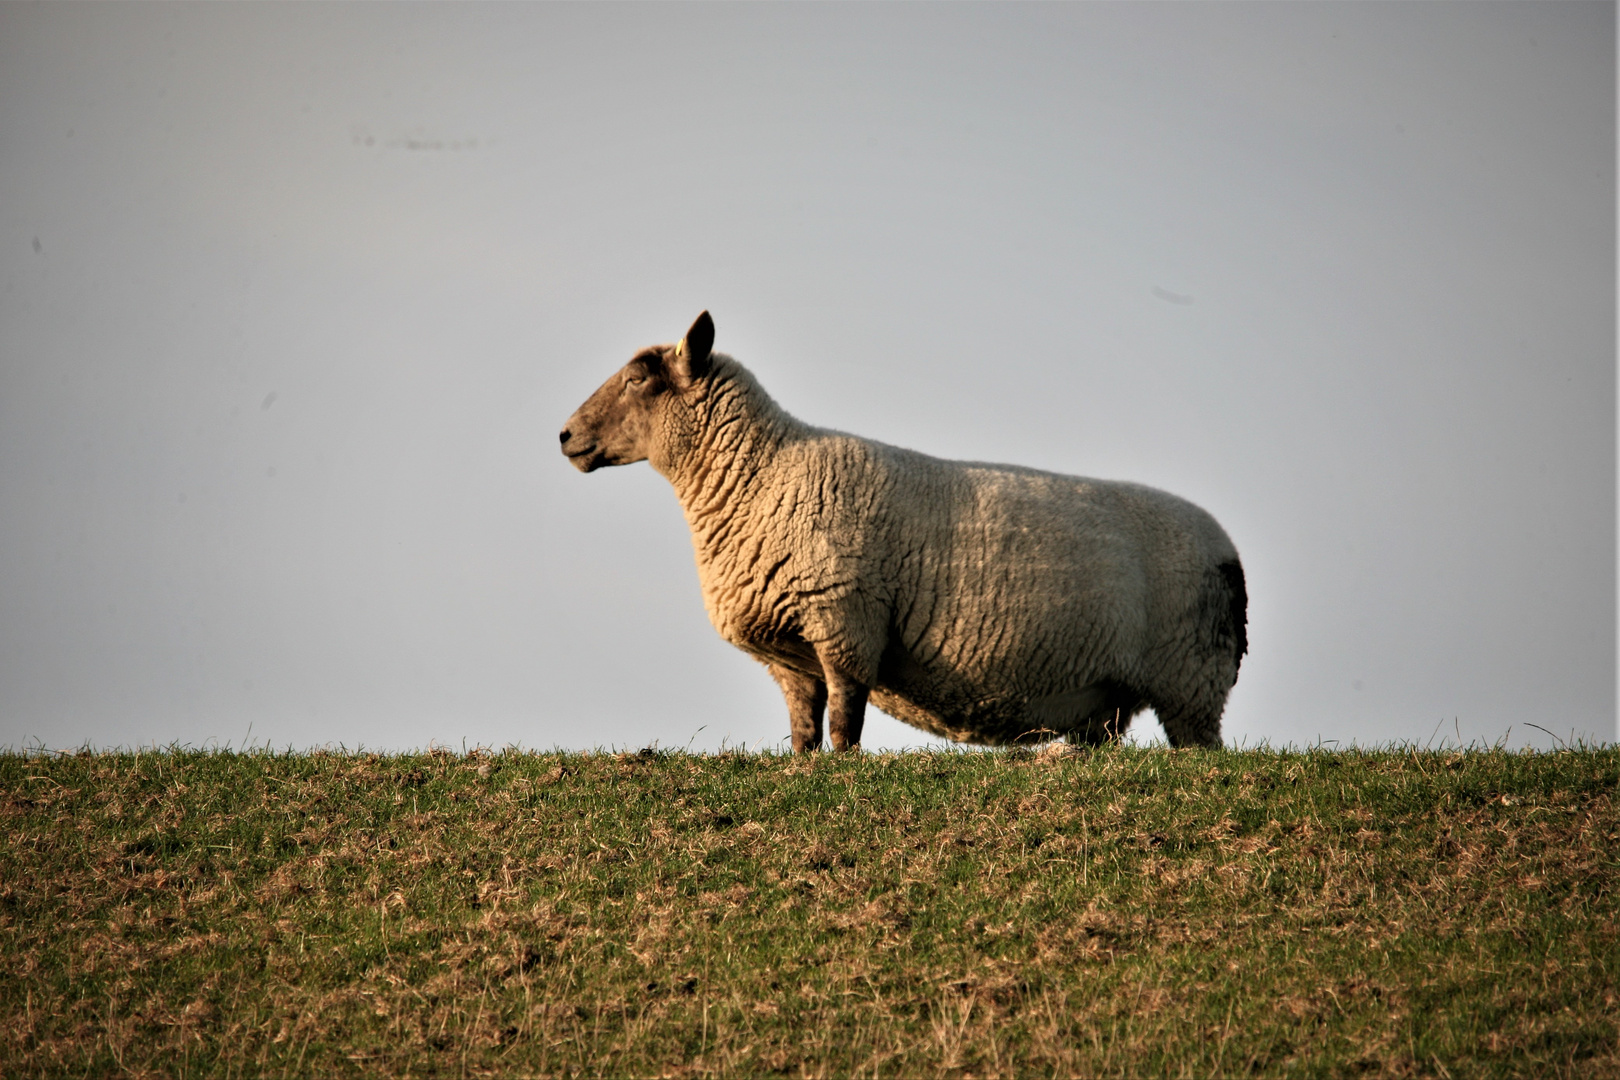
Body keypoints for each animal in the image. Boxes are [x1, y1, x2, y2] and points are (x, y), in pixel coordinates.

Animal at [563, 312, 1244, 751]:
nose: (565, 435)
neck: (762, 475)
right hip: (1112, 702)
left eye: (637, 379)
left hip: (1191, 678)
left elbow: (844, 727)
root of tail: (1229, 554)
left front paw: (841, 775)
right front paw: (804, 772)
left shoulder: (846, 623)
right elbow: (804, 734)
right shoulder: (794, 657)